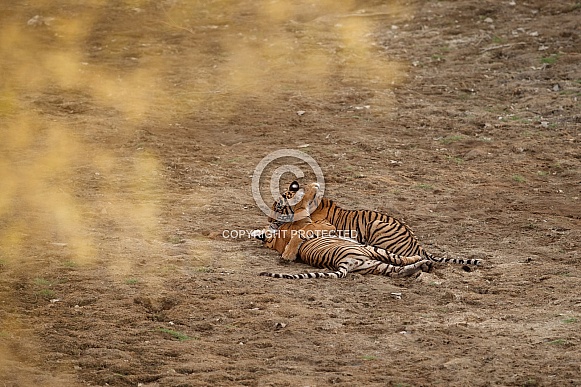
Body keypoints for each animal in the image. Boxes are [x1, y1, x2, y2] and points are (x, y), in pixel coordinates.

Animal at [268, 181, 480, 266]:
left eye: (278, 206)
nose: (269, 221)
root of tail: (420, 248)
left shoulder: (326, 225)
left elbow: (301, 232)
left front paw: (287, 254)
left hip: (377, 225)